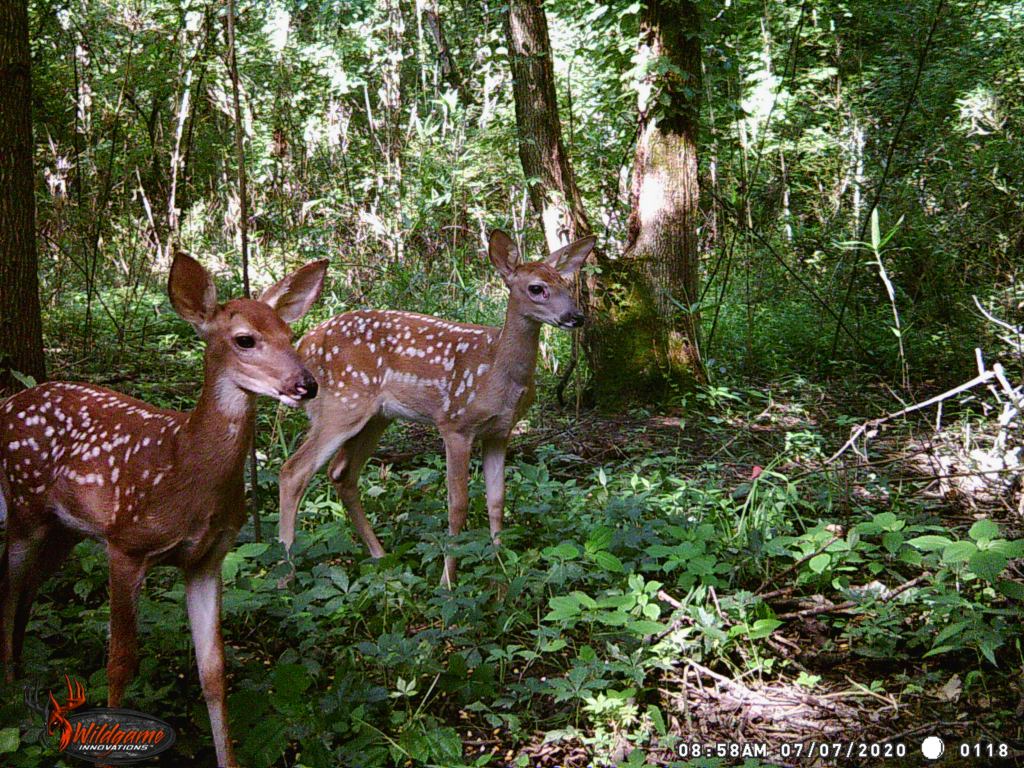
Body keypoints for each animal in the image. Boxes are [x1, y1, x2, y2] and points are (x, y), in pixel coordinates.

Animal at [0, 253, 327, 768]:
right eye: (245, 339)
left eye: (290, 335)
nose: (305, 384)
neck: (183, 465)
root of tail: (9, 401)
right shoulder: (125, 543)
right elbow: (119, 663)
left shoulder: (207, 559)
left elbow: (213, 670)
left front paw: (227, 758)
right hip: (23, 506)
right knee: (9, 588)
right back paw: (12, 693)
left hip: (63, 530)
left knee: (27, 587)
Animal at [278, 230, 595, 586]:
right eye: (537, 288)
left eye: (566, 284)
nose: (576, 317)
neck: (497, 371)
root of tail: (304, 345)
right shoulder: (455, 424)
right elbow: (457, 504)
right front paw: (448, 581)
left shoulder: (499, 432)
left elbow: (497, 500)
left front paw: (501, 568)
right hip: (341, 404)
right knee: (293, 471)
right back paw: (285, 575)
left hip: (375, 417)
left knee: (341, 473)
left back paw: (381, 556)